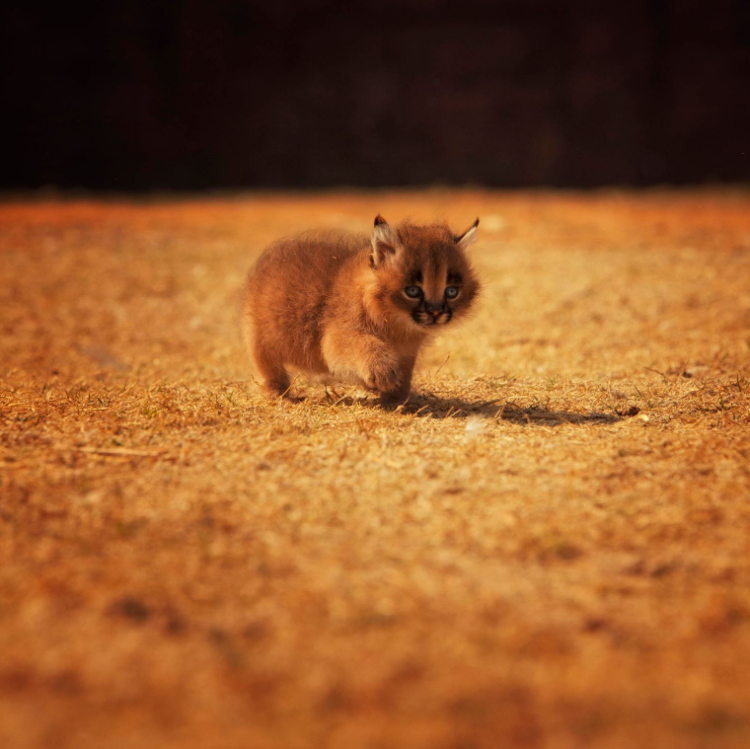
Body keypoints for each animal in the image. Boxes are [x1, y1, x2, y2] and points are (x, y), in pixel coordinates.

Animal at [244, 216, 484, 404]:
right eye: (413, 291)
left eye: (451, 292)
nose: (435, 312)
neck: (396, 324)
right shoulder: (336, 336)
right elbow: (363, 344)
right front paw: (383, 374)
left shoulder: (408, 351)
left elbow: (405, 371)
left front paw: (396, 396)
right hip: (262, 338)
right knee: (266, 364)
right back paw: (277, 392)